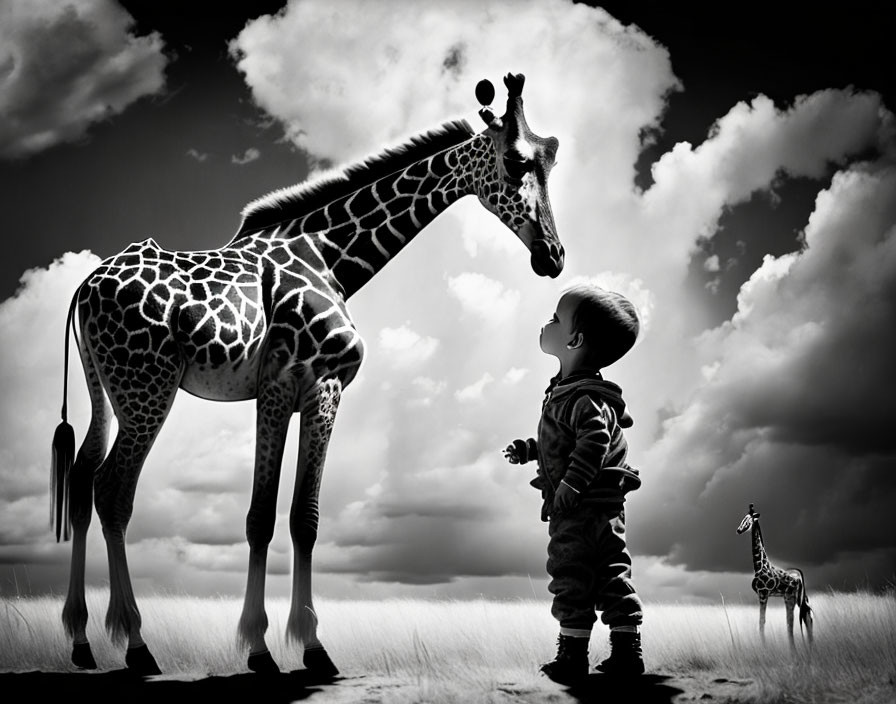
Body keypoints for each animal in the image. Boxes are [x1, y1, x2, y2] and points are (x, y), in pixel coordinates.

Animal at [50, 74, 560, 680]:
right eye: (515, 161)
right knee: (113, 490)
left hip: (105, 391)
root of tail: (83, 287)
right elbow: (272, 517)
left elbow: (300, 518)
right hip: (147, 389)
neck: (331, 257)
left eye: (551, 162)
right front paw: (274, 648)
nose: (553, 256)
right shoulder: (300, 386)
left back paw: (81, 641)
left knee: (83, 481)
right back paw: (136, 645)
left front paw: (297, 645)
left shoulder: (297, 392)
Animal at [736, 500, 812, 648]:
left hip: (794, 597)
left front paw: (764, 647)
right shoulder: (763, 595)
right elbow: (763, 621)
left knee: (803, 617)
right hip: (789, 597)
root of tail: (799, 576)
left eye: (748, 519)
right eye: (743, 517)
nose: (738, 530)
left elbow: (762, 621)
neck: (759, 567)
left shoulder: (763, 594)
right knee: (795, 619)